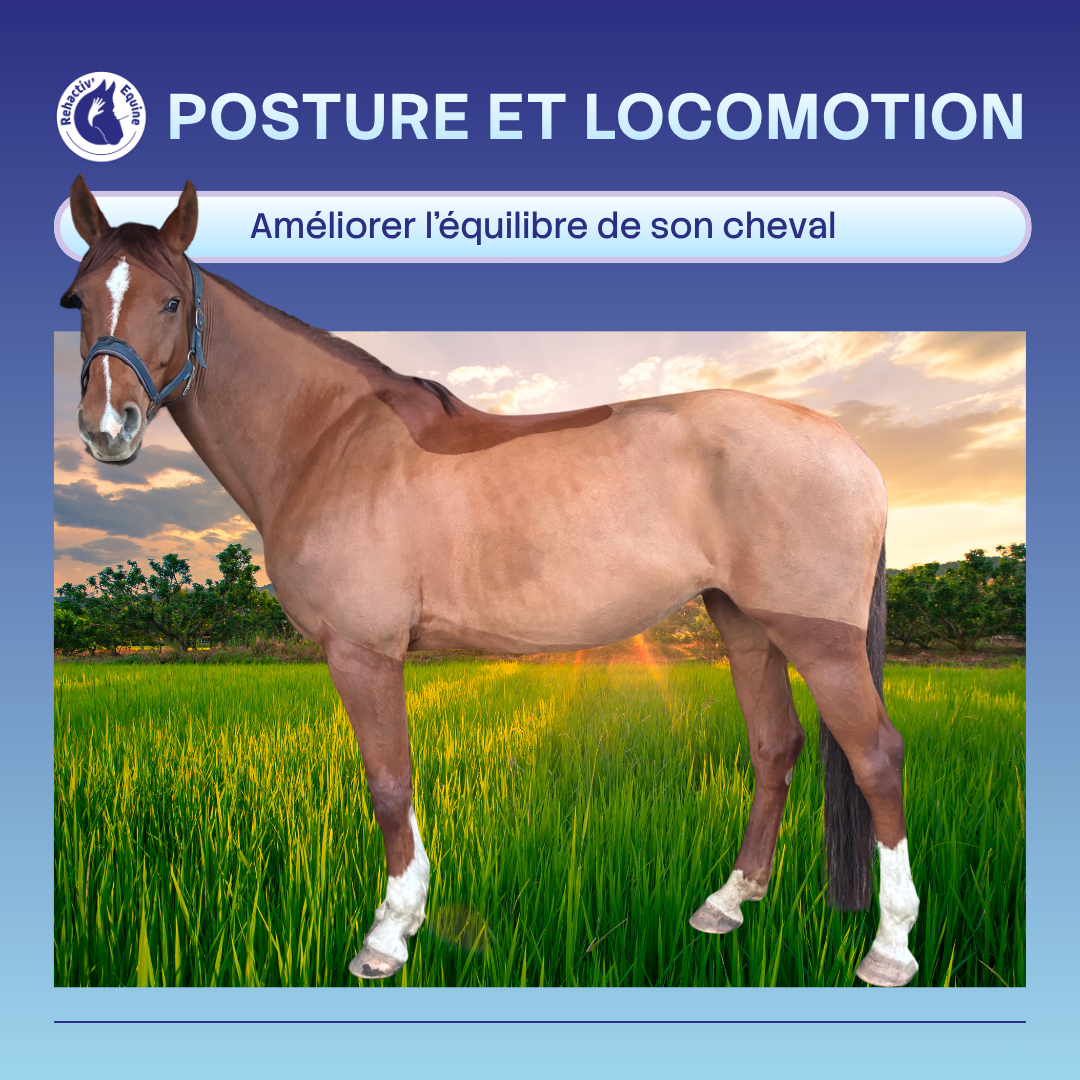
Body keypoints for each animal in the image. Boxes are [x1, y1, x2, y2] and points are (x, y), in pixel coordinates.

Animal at [63, 176, 921, 987]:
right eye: (78, 298)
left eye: (171, 300)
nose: (109, 428)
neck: (329, 439)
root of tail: (850, 448)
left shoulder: (363, 652)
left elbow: (388, 782)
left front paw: (387, 937)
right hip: (743, 624)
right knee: (776, 745)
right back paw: (728, 903)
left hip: (819, 639)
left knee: (877, 755)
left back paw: (889, 950)